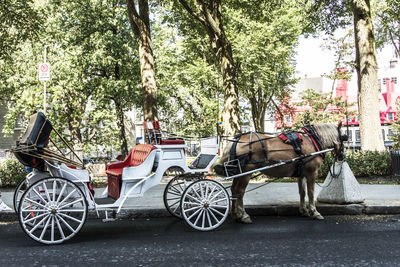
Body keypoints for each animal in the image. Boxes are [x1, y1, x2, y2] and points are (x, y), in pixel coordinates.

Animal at [214, 123, 346, 224]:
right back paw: (243, 215)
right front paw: (315, 212)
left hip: (239, 172)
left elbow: (302, 192)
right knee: (240, 191)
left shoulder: (302, 174)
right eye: (344, 137)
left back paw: (235, 214)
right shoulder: (312, 172)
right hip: (246, 172)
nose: (342, 156)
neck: (313, 140)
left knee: (234, 190)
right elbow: (311, 193)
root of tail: (237, 140)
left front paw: (304, 210)